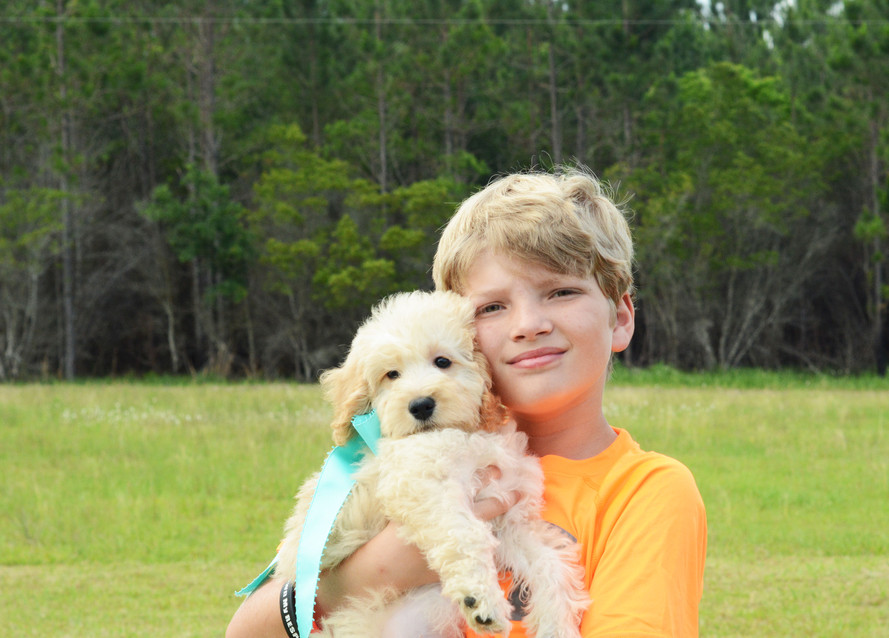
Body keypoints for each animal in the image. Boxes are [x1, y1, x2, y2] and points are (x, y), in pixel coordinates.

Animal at [274, 292, 588, 638]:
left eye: (442, 362)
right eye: (391, 375)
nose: (420, 405)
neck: (463, 434)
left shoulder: (508, 513)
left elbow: (550, 562)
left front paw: (556, 626)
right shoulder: (422, 485)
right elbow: (467, 534)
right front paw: (480, 600)